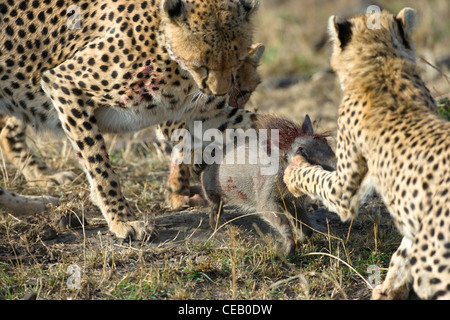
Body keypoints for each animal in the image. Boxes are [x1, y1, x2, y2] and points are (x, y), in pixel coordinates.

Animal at [0, 0, 260, 240]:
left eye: (236, 61)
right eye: (201, 65)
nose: (221, 92)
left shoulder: (202, 112)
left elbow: (253, 125)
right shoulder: (63, 83)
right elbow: (99, 164)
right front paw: (122, 220)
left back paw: (39, 198)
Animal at [284, 7, 448, 298]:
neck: (381, 64)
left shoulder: (344, 190)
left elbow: (314, 176)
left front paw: (292, 171)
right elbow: (403, 253)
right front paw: (390, 289)